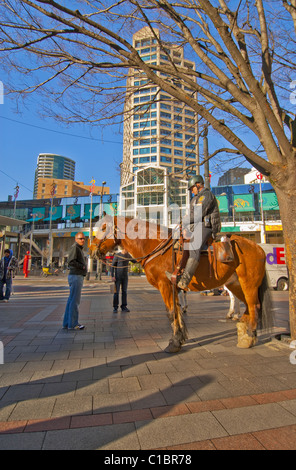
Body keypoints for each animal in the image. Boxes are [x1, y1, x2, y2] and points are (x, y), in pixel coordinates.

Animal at [89, 215, 274, 350]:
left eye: (104, 228)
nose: (91, 250)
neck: (156, 246)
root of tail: (258, 247)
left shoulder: (165, 286)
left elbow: (171, 313)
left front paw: (175, 342)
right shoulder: (173, 288)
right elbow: (177, 312)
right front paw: (181, 337)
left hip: (248, 283)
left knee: (254, 306)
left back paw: (250, 338)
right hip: (235, 284)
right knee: (249, 306)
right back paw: (242, 331)